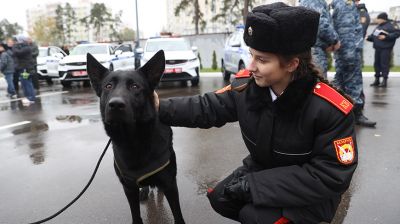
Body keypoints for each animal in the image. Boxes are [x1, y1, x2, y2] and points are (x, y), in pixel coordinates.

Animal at [86, 50, 185, 224]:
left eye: (135, 86)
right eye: (108, 86)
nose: (115, 105)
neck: (133, 140)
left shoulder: (170, 184)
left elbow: (178, 215)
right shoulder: (129, 187)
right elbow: (135, 215)